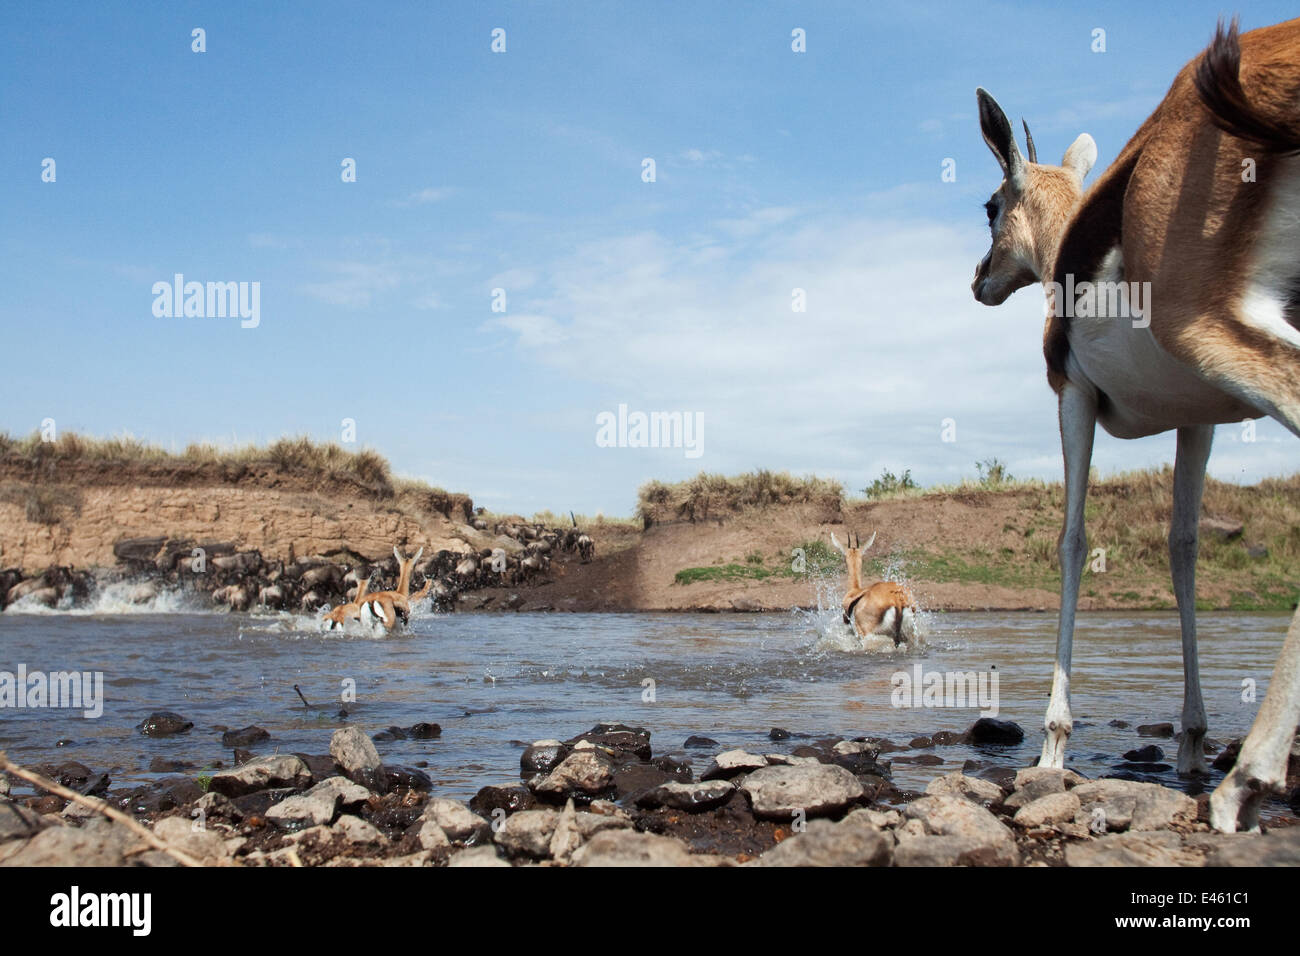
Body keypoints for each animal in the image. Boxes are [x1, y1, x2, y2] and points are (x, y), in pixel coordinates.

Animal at [972, 18, 1300, 832]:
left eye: (990, 205)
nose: (979, 280)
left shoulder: (1073, 395)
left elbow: (1072, 539)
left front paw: (1052, 746)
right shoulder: (1200, 419)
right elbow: (1184, 548)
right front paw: (1189, 742)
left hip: (1213, 328)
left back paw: (1245, 783)